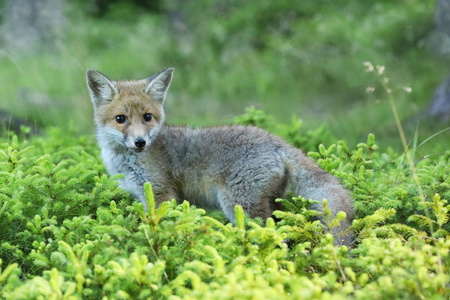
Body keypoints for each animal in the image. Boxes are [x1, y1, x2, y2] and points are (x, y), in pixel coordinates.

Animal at [86, 68, 356, 246]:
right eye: (120, 119)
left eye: (147, 117)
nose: (140, 142)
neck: (126, 162)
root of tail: (277, 141)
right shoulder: (144, 195)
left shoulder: (161, 192)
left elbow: (162, 223)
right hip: (268, 201)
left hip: (239, 205)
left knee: (271, 232)